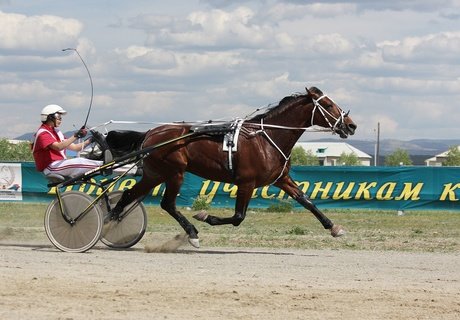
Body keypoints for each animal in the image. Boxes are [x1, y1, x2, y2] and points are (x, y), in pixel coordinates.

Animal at [107, 87, 356, 248]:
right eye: (328, 104)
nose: (351, 125)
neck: (266, 138)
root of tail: (151, 133)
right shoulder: (246, 182)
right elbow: (238, 217)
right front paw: (205, 216)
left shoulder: (281, 179)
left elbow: (306, 200)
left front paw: (334, 227)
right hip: (174, 172)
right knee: (167, 204)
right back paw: (192, 233)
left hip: (155, 174)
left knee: (129, 194)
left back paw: (112, 218)